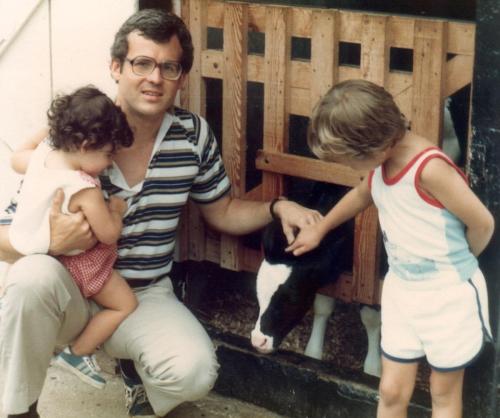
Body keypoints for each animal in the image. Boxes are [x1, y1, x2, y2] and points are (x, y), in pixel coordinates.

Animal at [250, 185, 382, 378]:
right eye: (259, 294)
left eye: (292, 298)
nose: (258, 340)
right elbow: (323, 307)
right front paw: (313, 353)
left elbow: (371, 318)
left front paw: (373, 369)